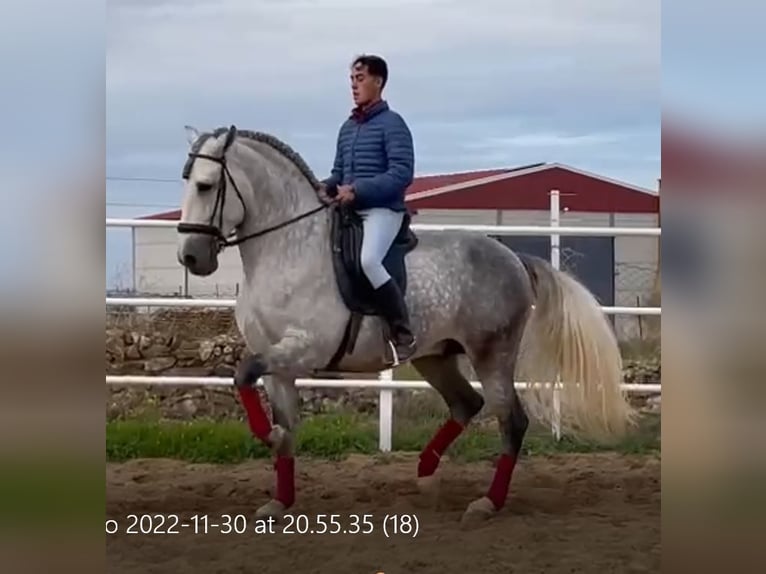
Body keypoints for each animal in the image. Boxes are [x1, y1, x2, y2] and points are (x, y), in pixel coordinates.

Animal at [177, 125, 640, 528]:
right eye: (187, 182)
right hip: (435, 357)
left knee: (511, 421)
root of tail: (513, 257)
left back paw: (486, 503)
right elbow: (279, 417)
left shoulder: (303, 348)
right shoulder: (281, 366)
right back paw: (425, 469)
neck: (289, 249)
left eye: (206, 186)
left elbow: (244, 373)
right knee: (466, 404)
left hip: (492, 354)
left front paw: (268, 437)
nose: (191, 258)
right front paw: (279, 499)